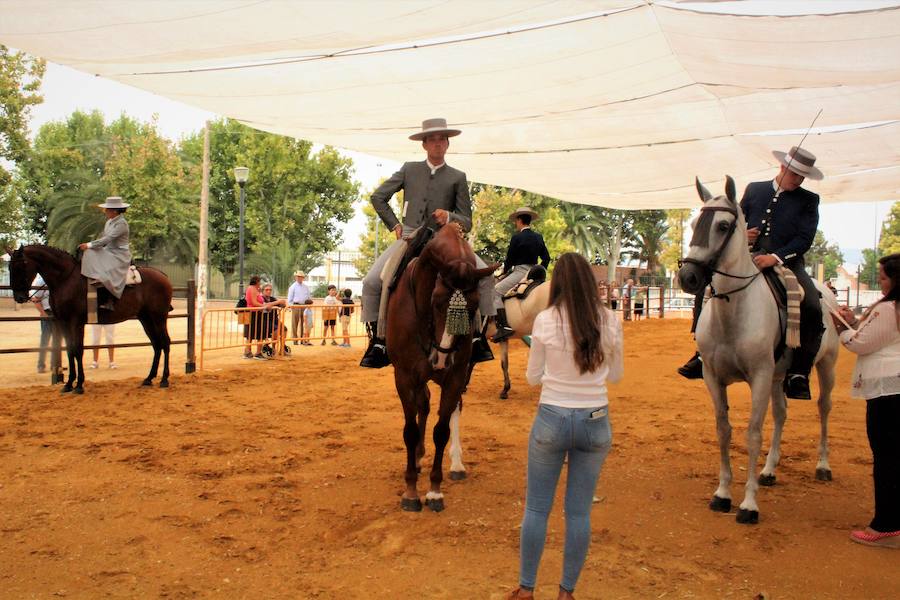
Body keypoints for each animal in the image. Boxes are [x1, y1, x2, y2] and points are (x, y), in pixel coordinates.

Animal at [8, 244, 174, 394]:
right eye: (10, 268)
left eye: (21, 266)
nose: (19, 297)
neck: (66, 279)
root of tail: (163, 276)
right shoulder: (63, 323)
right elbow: (70, 351)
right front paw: (69, 384)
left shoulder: (76, 322)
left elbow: (77, 350)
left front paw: (79, 385)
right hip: (146, 319)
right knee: (156, 345)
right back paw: (149, 378)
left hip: (158, 318)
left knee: (165, 343)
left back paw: (164, 380)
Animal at [386, 223, 496, 512]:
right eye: (435, 300)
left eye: (474, 305)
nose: (442, 360)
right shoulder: (405, 377)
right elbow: (410, 430)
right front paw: (411, 491)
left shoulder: (455, 377)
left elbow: (441, 430)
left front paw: (435, 491)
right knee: (422, 406)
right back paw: (417, 459)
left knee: (451, 407)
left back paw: (455, 464)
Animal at [680, 176, 840, 524]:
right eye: (695, 223)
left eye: (723, 226)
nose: (688, 277)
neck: (733, 311)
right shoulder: (713, 377)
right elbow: (723, 429)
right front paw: (722, 494)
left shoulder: (760, 377)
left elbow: (753, 434)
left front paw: (748, 505)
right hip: (779, 377)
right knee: (781, 414)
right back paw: (768, 471)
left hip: (826, 367)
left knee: (824, 408)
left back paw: (822, 466)